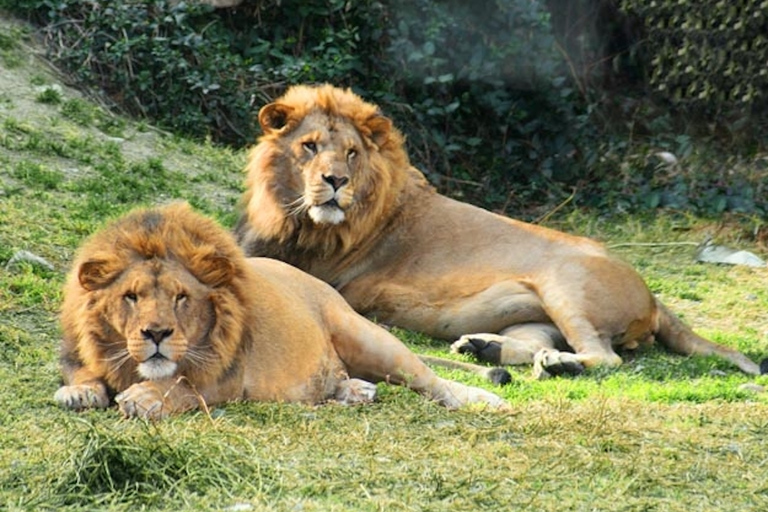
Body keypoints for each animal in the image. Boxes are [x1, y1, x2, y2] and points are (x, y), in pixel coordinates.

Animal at [55, 202, 510, 418]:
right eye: (131, 296)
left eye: (181, 297)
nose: (156, 334)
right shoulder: (77, 351)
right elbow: (82, 372)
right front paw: (80, 391)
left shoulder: (228, 377)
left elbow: (181, 385)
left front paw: (144, 397)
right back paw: (353, 391)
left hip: (367, 337)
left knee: (431, 381)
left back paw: (485, 400)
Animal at [234, 84, 760, 378]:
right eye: (309, 146)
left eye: (351, 154)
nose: (335, 181)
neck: (292, 214)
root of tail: (653, 295)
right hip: (535, 313)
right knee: (538, 342)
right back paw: (485, 347)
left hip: (566, 286)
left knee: (604, 358)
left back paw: (558, 365)